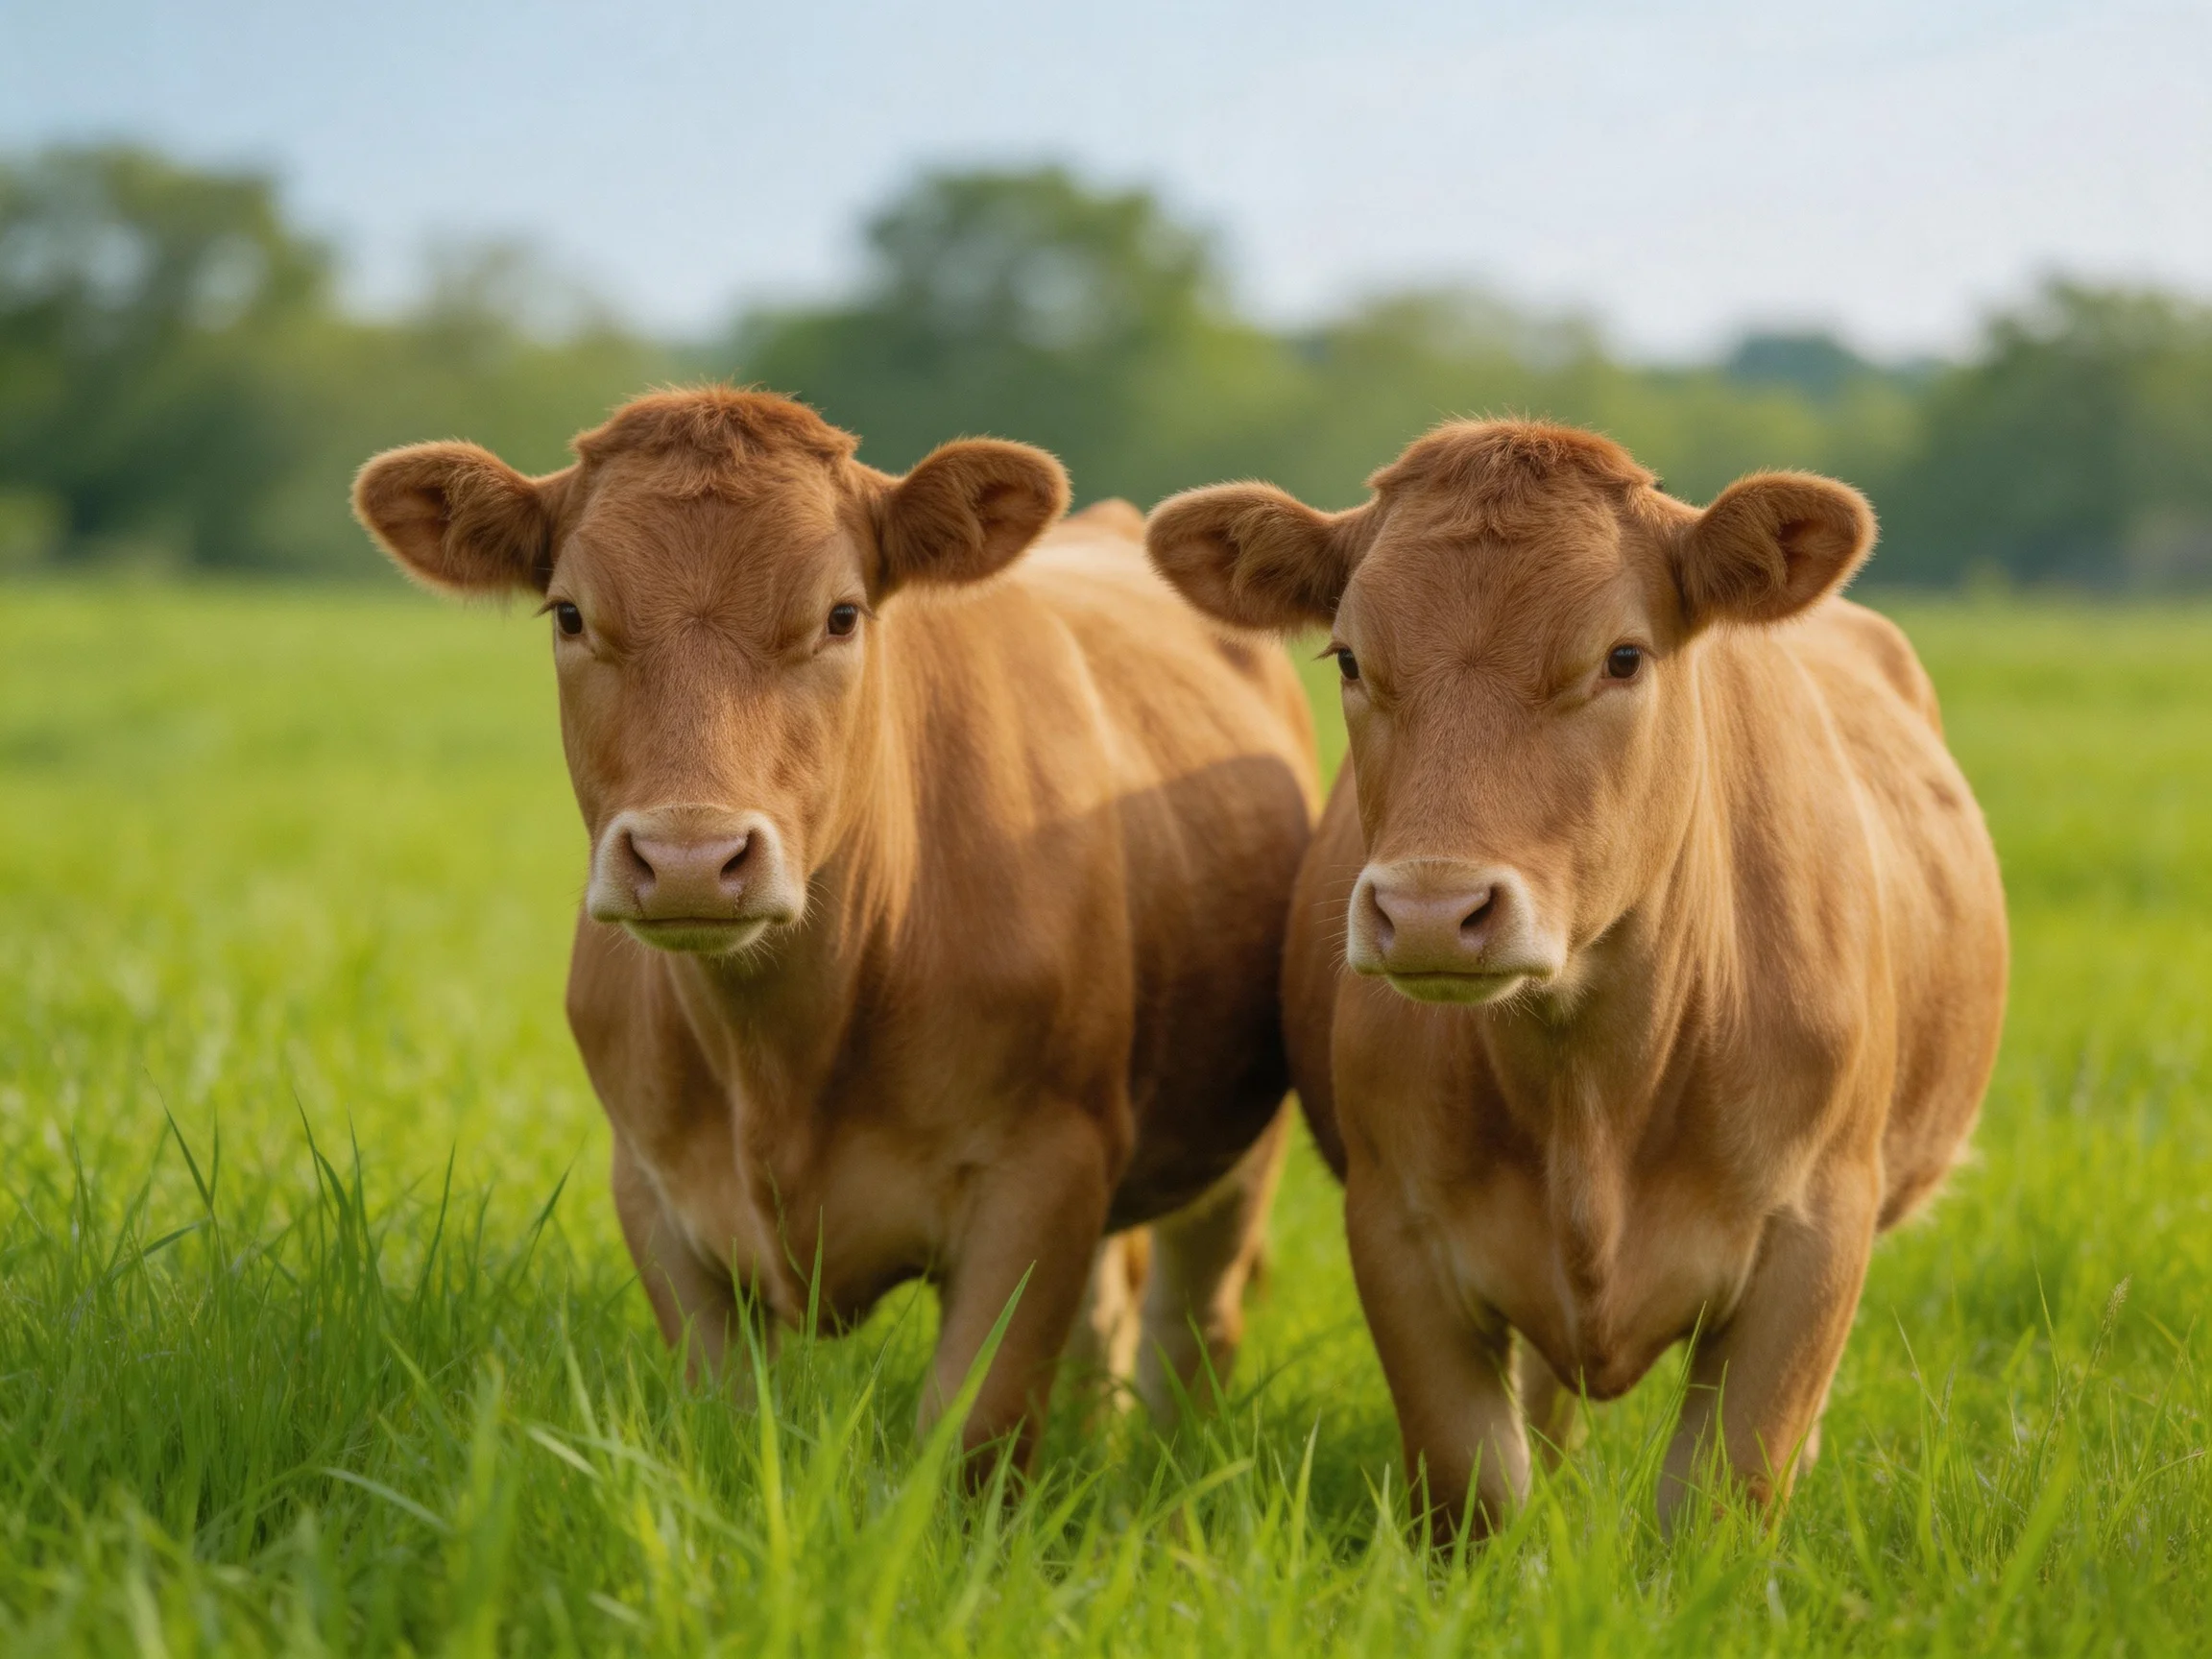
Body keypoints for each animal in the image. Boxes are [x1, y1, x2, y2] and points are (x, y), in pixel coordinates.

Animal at [352, 388, 1319, 1473]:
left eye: (841, 615)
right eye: (569, 613)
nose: (691, 857)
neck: (785, 1056)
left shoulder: (1042, 1177)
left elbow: (973, 1430)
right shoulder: (655, 1189)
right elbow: (726, 1418)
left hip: (1237, 1155)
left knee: (1190, 1330)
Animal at [1145, 420, 2007, 1533]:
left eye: (1622, 657)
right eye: (1349, 657)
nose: (1432, 909)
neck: (1593, 1083)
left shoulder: (1815, 1236)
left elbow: (1723, 1492)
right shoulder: (1397, 1231)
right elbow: (1476, 1484)